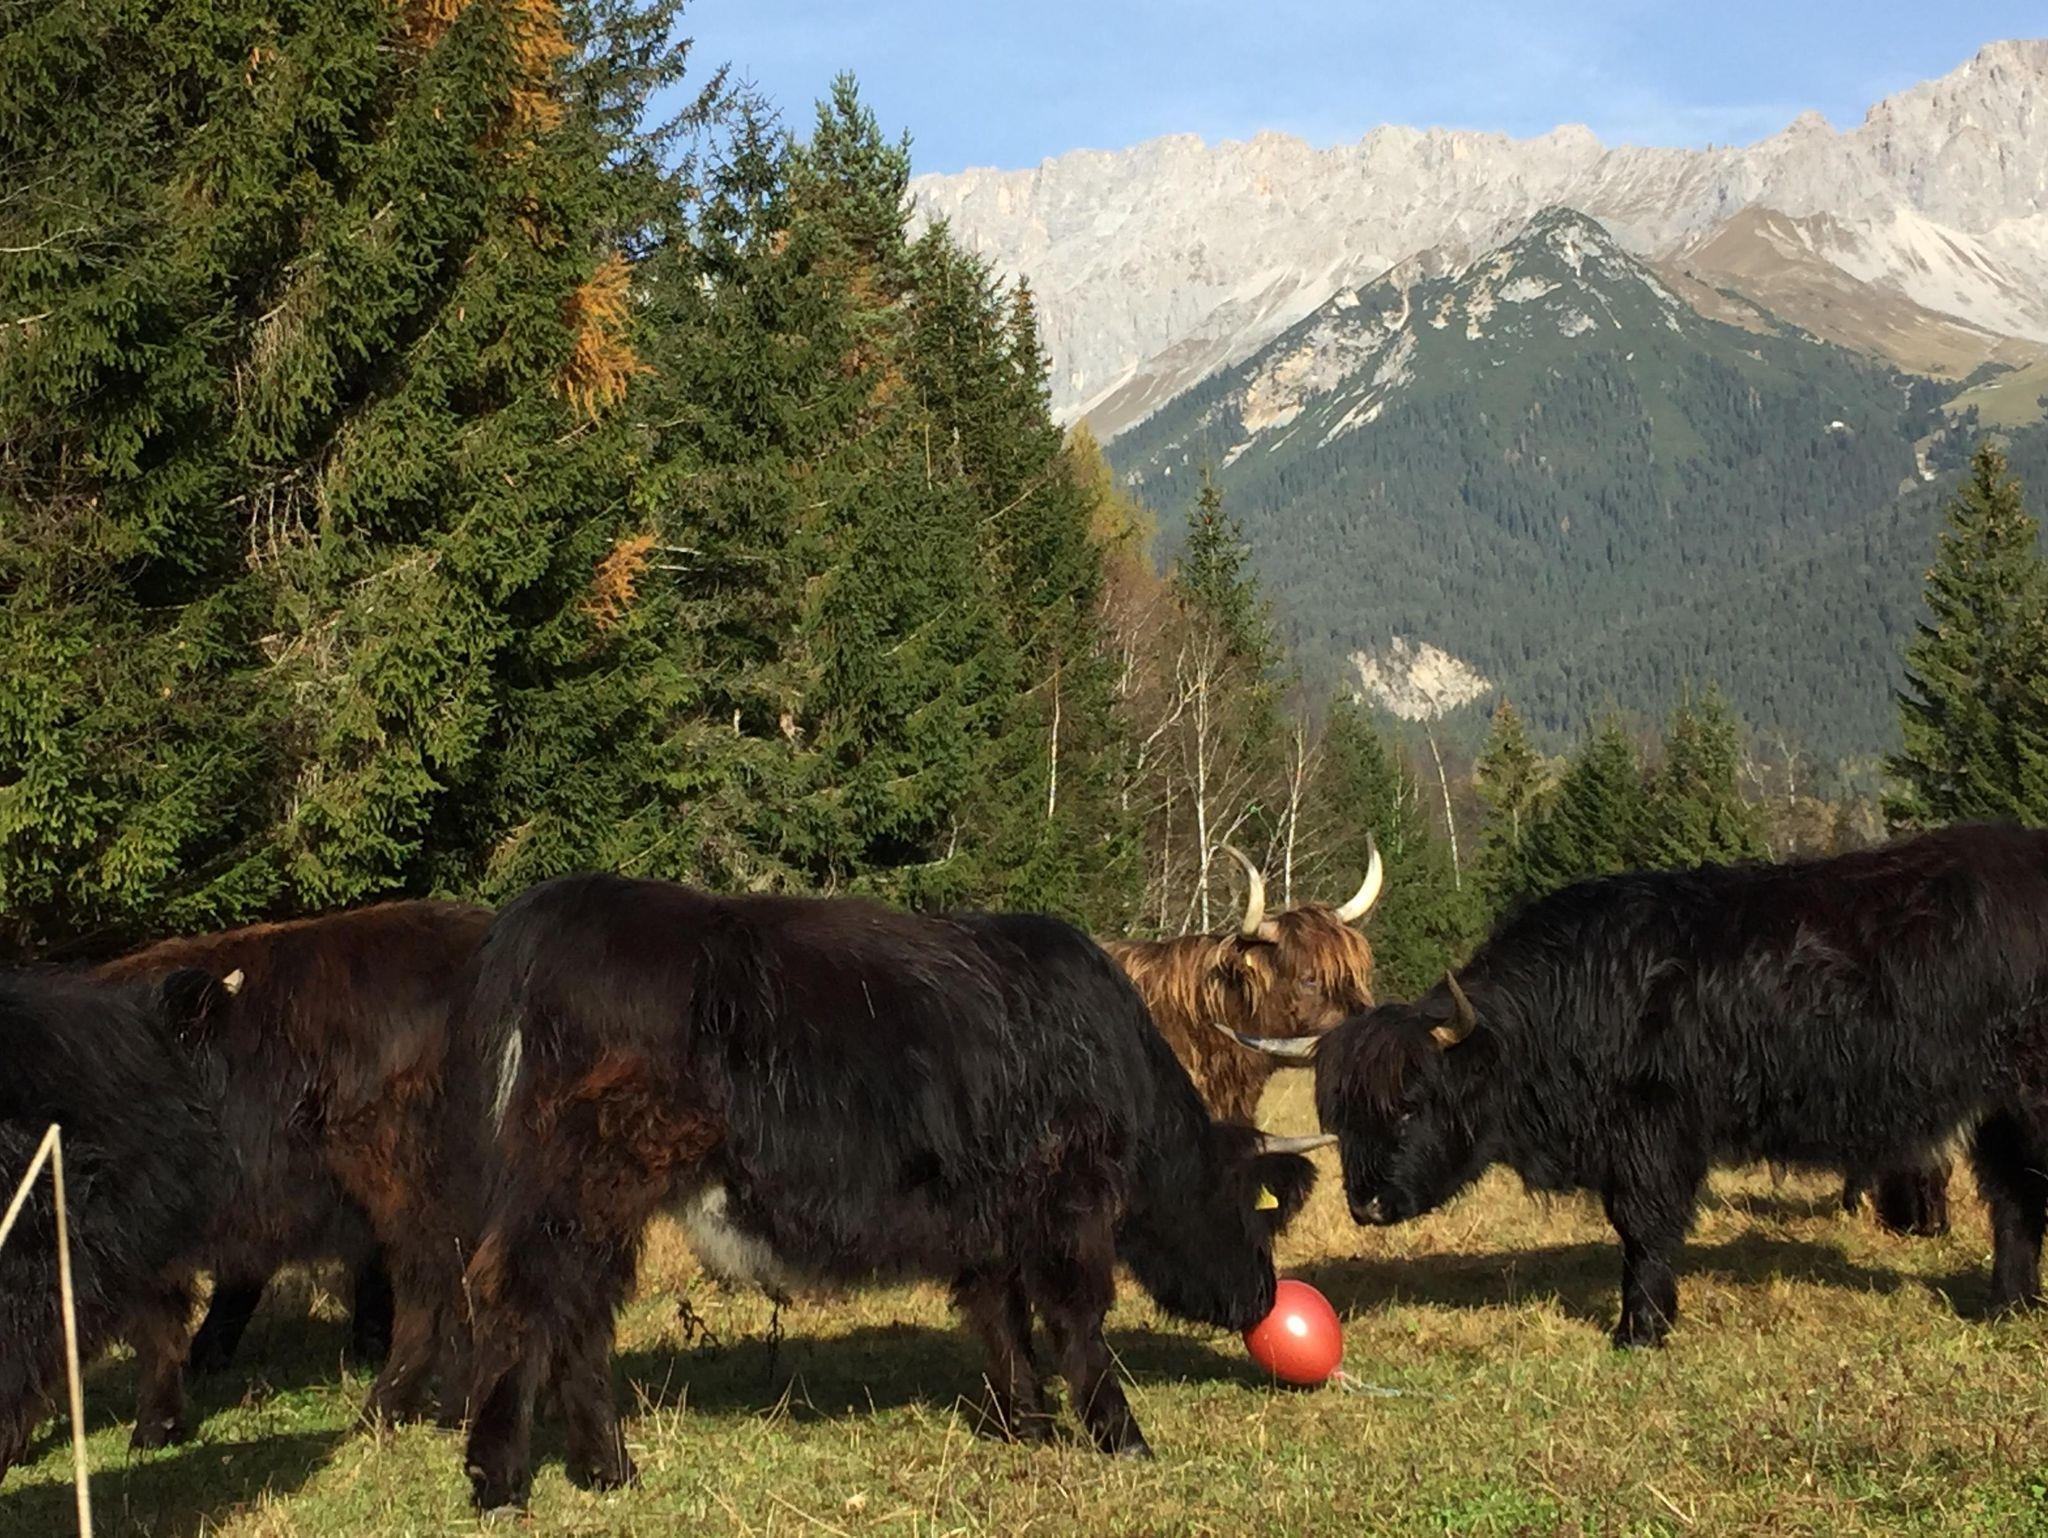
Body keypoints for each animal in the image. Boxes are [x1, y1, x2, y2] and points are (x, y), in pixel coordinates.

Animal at [459, 875, 1324, 1511]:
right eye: (1253, 1212)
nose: (1262, 1298)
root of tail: (560, 910)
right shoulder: (1067, 1201)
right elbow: (1078, 1315)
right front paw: (1121, 1435)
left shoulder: (993, 1213)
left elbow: (1000, 1313)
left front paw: (1027, 1421)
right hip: (586, 1179)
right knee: (529, 1296)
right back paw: (501, 1478)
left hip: (597, 1199)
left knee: (581, 1310)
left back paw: (608, 1470)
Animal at [1221, 824, 2048, 1348]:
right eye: (1339, 1115)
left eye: (1412, 1104)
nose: (1366, 1204)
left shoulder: (1654, 1132)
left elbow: (1643, 1228)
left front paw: (1640, 1329)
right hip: (2002, 1104)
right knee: (2012, 1197)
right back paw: (2006, 1304)